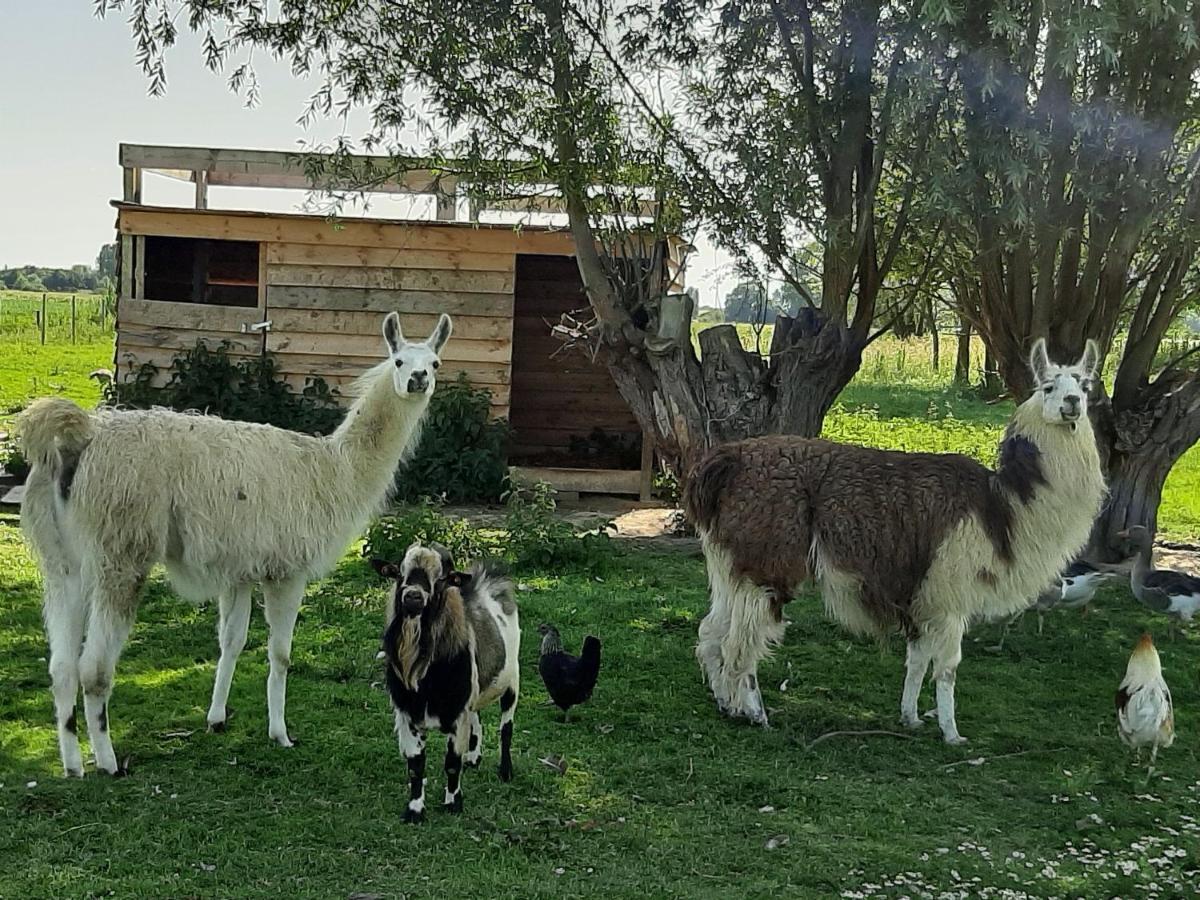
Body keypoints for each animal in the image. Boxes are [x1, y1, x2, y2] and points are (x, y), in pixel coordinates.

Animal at [372, 542, 518, 825]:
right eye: (399, 573)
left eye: (441, 580)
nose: (413, 597)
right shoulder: (407, 715)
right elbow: (415, 766)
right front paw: (415, 810)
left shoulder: (457, 715)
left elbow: (452, 762)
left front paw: (453, 803)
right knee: (478, 719)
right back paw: (474, 758)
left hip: (512, 680)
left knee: (506, 727)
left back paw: (505, 771)